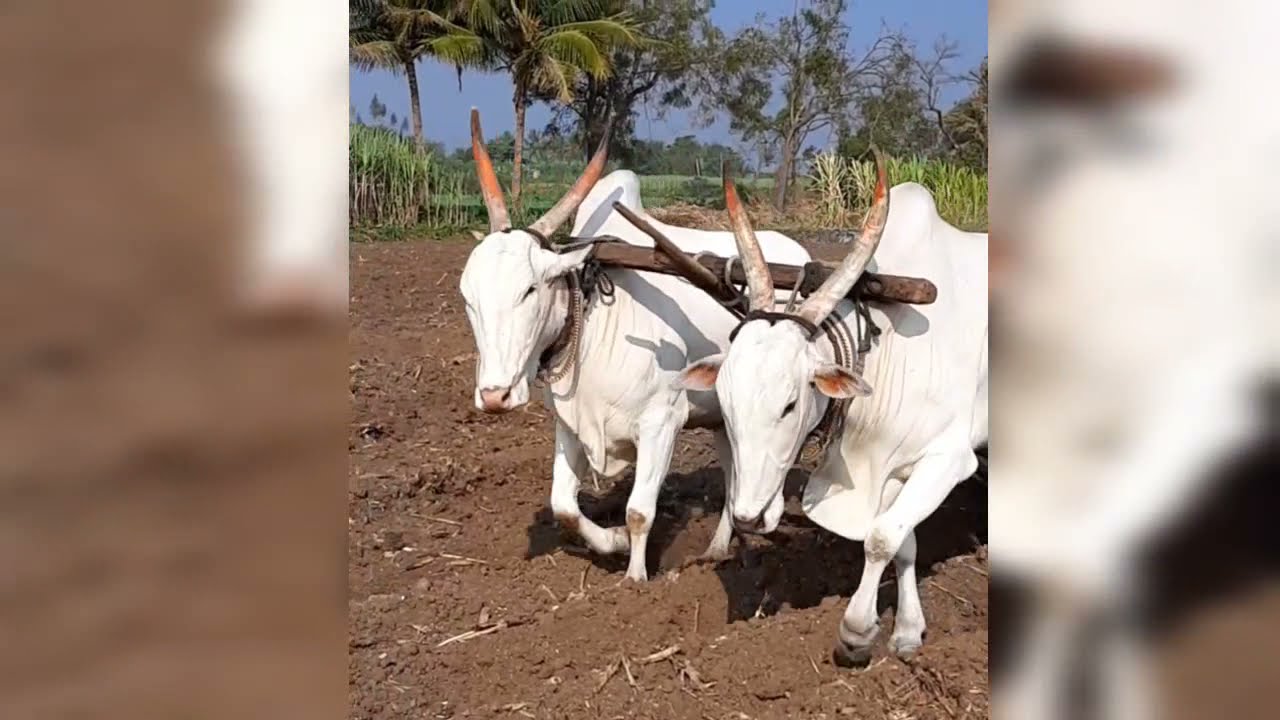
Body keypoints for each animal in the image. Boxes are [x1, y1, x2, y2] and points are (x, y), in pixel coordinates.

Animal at [458, 110, 811, 581]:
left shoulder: (662, 422)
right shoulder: (569, 425)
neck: (592, 326)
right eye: (468, 296)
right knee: (735, 474)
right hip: (727, 416)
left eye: (530, 289)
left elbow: (639, 512)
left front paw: (635, 578)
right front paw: (614, 542)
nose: (495, 396)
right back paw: (717, 548)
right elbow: (563, 506)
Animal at [674, 155, 989, 665]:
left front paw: (857, 632)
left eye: (790, 403)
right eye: (725, 402)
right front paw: (906, 631)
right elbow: (903, 543)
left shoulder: (949, 459)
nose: (747, 519)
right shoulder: (890, 466)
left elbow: (881, 539)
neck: (886, 346)